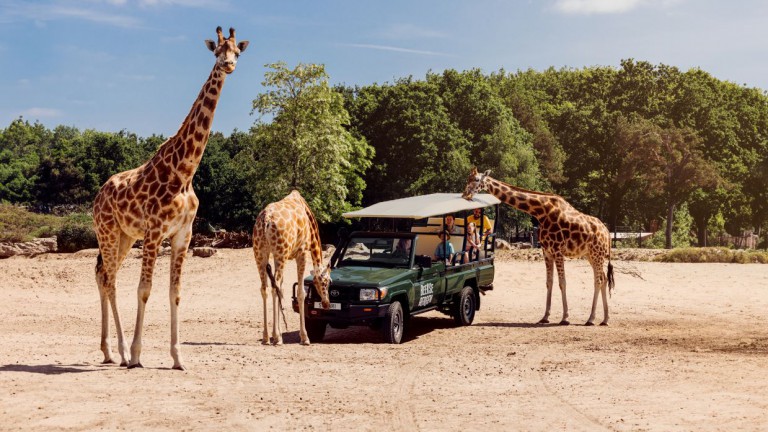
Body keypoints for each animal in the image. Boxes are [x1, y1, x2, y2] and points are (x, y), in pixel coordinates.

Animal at [92, 27, 248, 370]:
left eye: (237, 52)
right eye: (217, 51)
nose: (228, 65)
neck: (184, 172)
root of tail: (96, 197)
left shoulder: (182, 235)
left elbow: (174, 293)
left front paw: (178, 357)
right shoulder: (153, 233)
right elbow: (144, 290)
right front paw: (137, 354)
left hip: (124, 236)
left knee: (101, 274)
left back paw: (109, 351)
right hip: (107, 231)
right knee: (110, 279)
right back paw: (122, 352)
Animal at [252, 190, 332, 345]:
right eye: (328, 282)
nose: (326, 303)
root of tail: (266, 220)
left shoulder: (278, 257)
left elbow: (282, 290)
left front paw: (279, 333)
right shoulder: (301, 253)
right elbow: (300, 293)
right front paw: (304, 337)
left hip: (260, 253)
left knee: (265, 288)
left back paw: (266, 337)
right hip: (280, 253)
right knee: (274, 286)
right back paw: (276, 338)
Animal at [463, 167, 615, 326]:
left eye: (476, 180)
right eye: (468, 178)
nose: (465, 194)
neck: (541, 211)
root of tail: (607, 233)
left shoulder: (558, 251)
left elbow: (562, 283)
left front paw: (565, 318)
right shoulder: (547, 251)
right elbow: (549, 282)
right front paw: (545, 317)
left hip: (597, 254)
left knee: (598, 280)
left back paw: (591, 319)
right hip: (591, 255)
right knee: (603, 279)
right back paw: (605, 319)